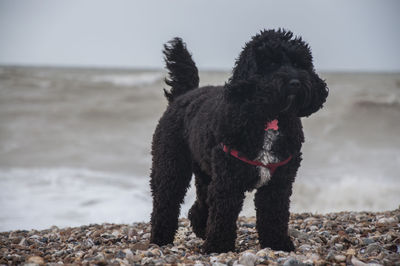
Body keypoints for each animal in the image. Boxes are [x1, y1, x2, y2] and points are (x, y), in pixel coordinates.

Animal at [150, 29, 328, 254]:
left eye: (298, 63)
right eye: (271, 63)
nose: (295, 82)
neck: (269, 116)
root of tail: (184, 95)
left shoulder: (278, 184)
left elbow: (274, 216)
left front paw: (278, 245)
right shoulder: (228, 181)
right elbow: (223, 216)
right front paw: (218, 247)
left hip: (205, 173)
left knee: (200, 204)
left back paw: (200, 229)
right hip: (171, 166)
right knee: (165, 202)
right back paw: (160, 239)